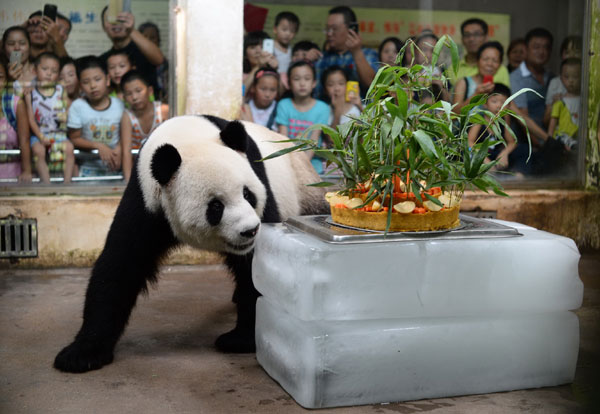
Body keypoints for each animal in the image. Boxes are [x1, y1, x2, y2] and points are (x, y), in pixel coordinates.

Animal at [55, 115, 328, 374]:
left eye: (247, 194)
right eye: (216, 206)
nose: (250, 231)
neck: (187, 138)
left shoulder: (259, 181)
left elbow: (255, 270)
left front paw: (240, 339)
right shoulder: (146, 200)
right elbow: (120, 266)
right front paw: (81, 354)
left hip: (304, 189)